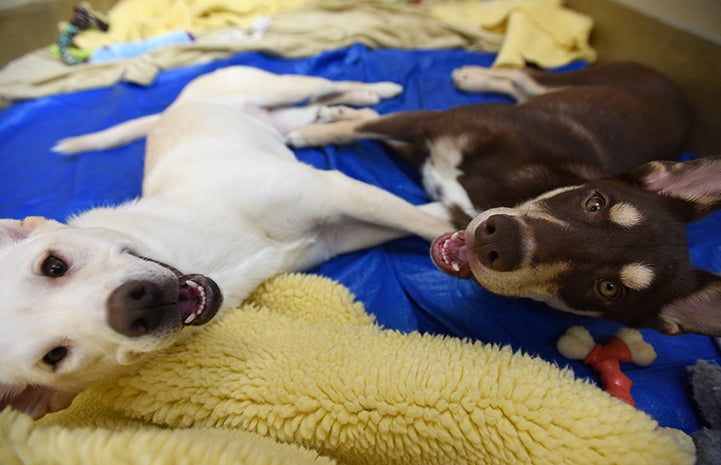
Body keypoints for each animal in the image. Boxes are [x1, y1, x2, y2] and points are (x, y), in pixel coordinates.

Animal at [0, 67, 450, 418]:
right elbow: (422, 221)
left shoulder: (332, 190)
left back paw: (375, 90)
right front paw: (453, 221)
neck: (222, 252)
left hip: (276, 85)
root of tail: (171, 107)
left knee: (321, 84)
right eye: (55, 357)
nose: (133, 306)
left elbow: (417, 221)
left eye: (53, 265)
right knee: (308, 111)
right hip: (282, 119)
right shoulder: (338, 233)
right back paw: (345, 108)